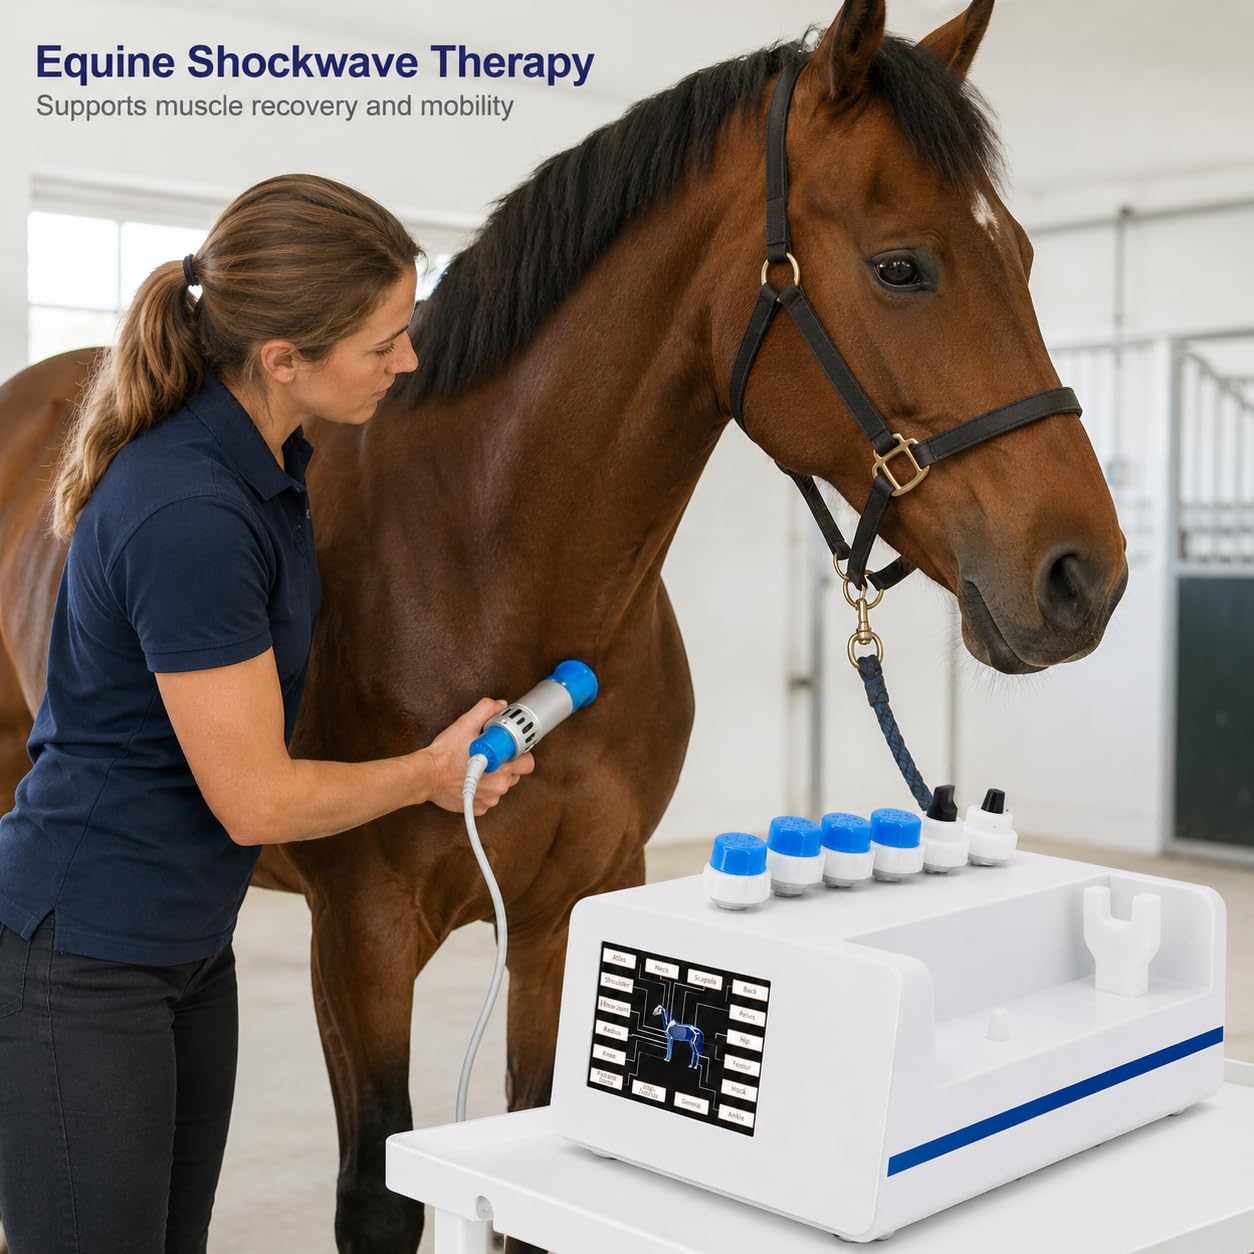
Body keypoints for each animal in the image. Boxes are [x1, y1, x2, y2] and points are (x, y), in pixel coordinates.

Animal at [0, 1, 1127, 1250]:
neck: (483, 563)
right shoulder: (361, 938)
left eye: (1023, 257)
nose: (1084, 577)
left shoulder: (567, 910)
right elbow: (378, 1194)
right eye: (900, 267)